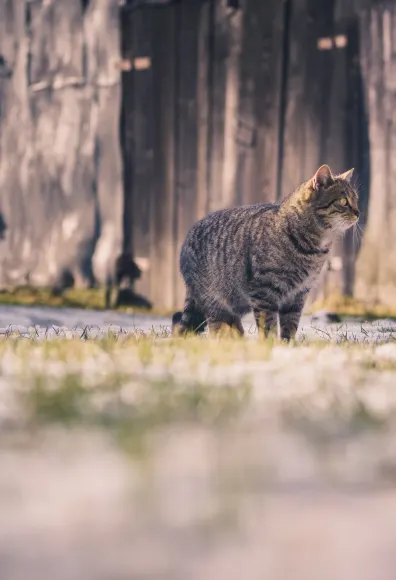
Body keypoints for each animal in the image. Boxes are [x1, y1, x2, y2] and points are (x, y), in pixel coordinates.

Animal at [172, 164, 358, 340]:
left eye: (356, 200)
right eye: (343, 202)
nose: (358, 213)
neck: (314, 249)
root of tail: (187, 238)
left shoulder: (298, 294)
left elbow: (290, 324)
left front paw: (287, 345)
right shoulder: (264, 290)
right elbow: (268, 324)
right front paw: (270, 344)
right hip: (215, 298)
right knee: (216, 325)